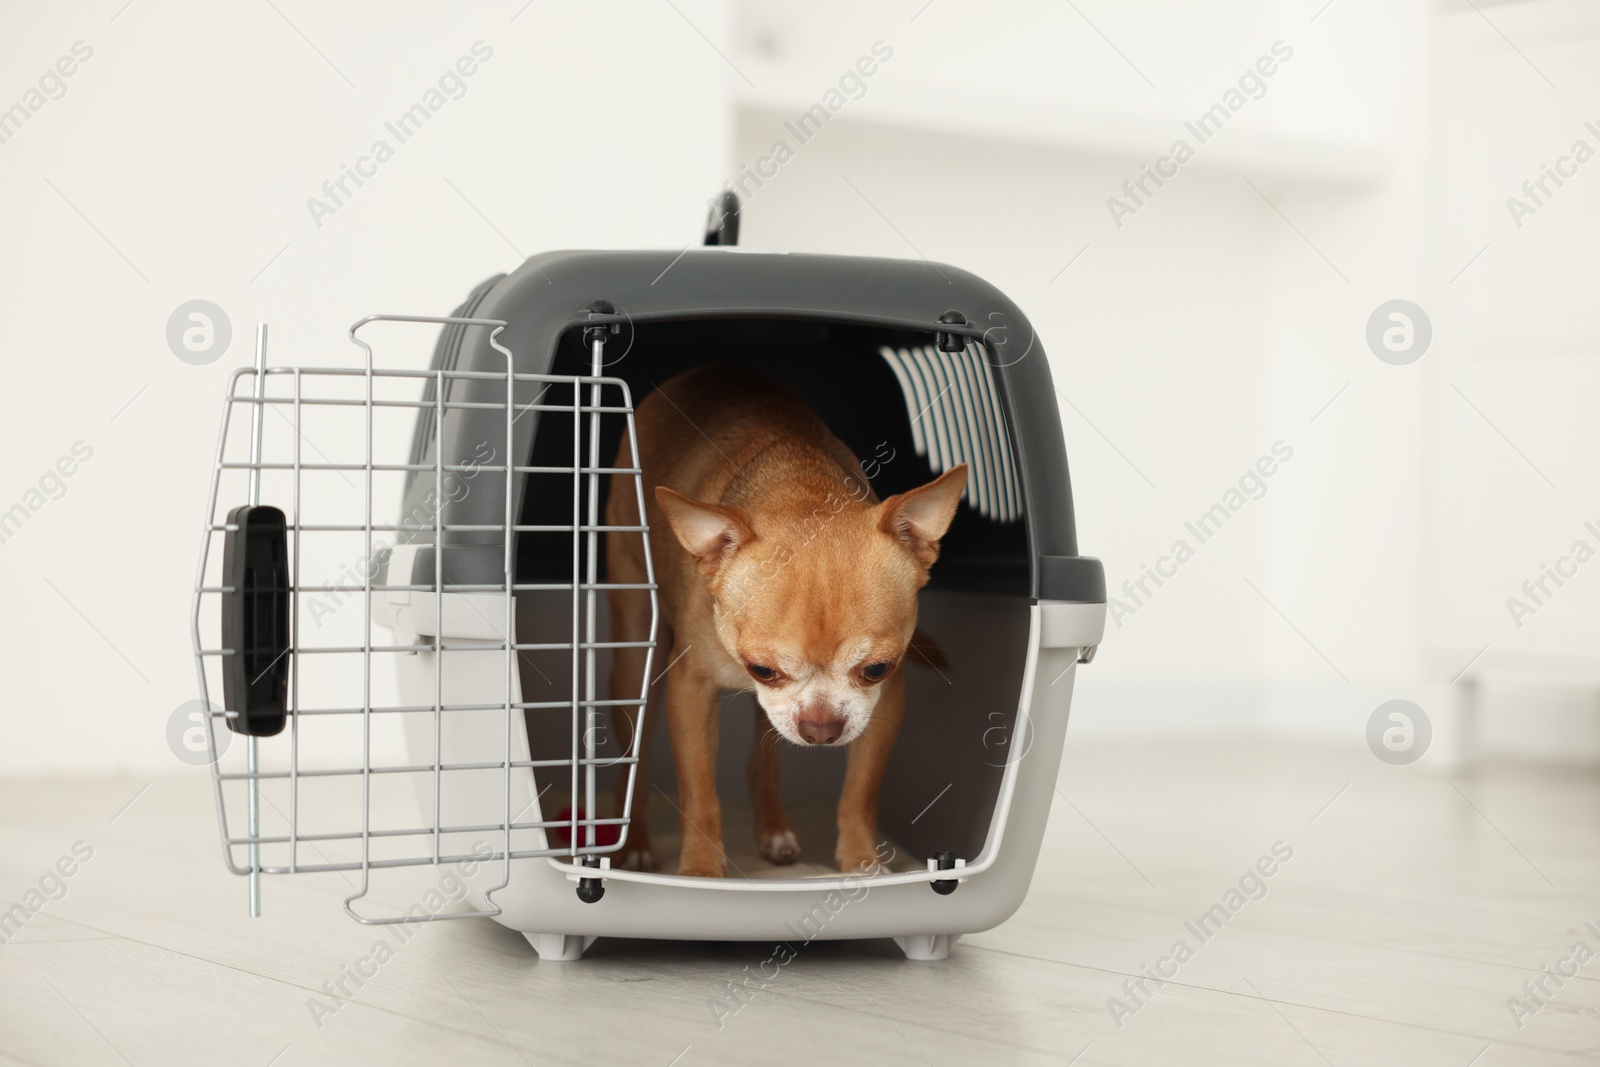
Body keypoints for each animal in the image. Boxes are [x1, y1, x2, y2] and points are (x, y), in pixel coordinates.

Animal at [601, 367, 960, 876]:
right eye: (762, 669)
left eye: (876, 668)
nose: (821, 729)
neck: (802, 486)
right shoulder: (690, 690)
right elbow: (699, 793)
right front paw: (701, 872)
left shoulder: (888, 697)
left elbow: (859, 793)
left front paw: (862, 863)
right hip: (634, 654)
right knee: (633, 760)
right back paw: (631, 843)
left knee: (762, 762)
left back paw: (773, 830)